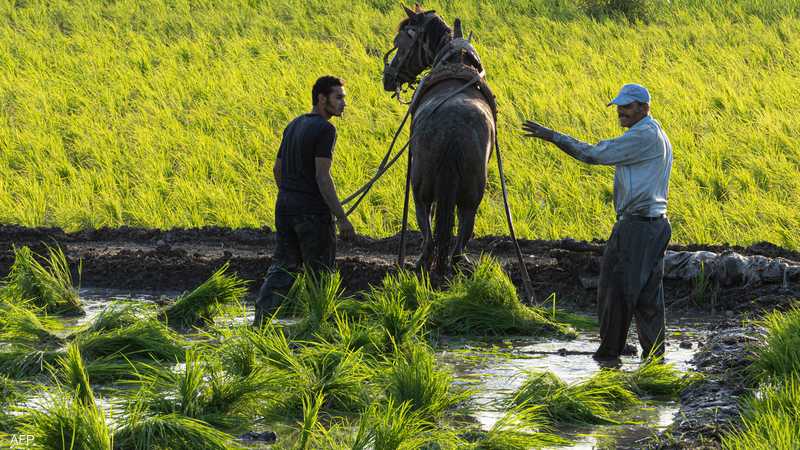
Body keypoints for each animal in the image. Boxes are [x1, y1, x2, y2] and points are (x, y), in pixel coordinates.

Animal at [382, 5, 494, 276]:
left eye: (400, 42)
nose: (387, 77)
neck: (456, 61)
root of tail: (451, 128)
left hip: (422, 187)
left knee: (431, 225)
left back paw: (429, 261)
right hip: (470, 191)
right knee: (462, 223)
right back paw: (455, 261)